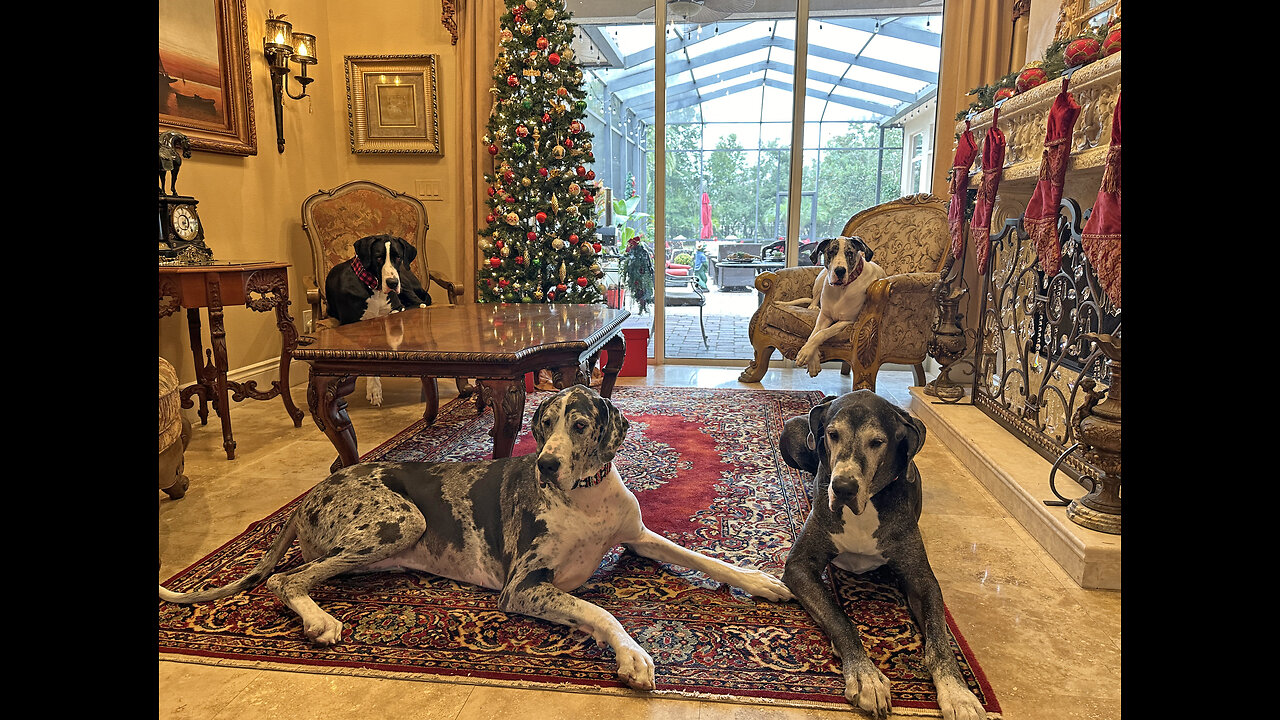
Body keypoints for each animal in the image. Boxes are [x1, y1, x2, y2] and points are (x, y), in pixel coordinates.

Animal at [160, 384, 788, 686]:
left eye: (579, 423)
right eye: (542, 424)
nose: (546, 465)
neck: (583, 498)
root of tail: (314, 491)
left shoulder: (638, 537)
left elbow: (704, 558)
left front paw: (761, 581)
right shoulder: (524, 587)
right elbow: (602, 611)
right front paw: (632, 655)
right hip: (398, 521)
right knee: (286, 580)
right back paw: (320, 621)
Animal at [325, 234, 435, 404]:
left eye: (398, 257)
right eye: (378, 257)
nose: (392, 283)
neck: (373, 288)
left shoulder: (394, 308)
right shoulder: (353, 325)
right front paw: (374, 389)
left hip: (404, 283)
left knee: (419, 302)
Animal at [778, 389, 977, 712]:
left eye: (877, 442)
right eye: (833, 434)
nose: (843, 488)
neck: (866, 508)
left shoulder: (923, 579)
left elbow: (939, 640)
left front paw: (957, 693)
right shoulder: (799, 566)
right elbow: (839, 619)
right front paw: (865, 676)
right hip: (793, 434)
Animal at [783, 238, 885, 379]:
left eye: (850, 253)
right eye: (831, 252)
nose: (840, 271)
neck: (841, 289)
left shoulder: (846, 321)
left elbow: (822, 333)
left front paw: (807, 353)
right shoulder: (823, 317)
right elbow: (813, 334)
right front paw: (811, 358)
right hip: (821, 278)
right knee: (815, 297)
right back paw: (813, 306)